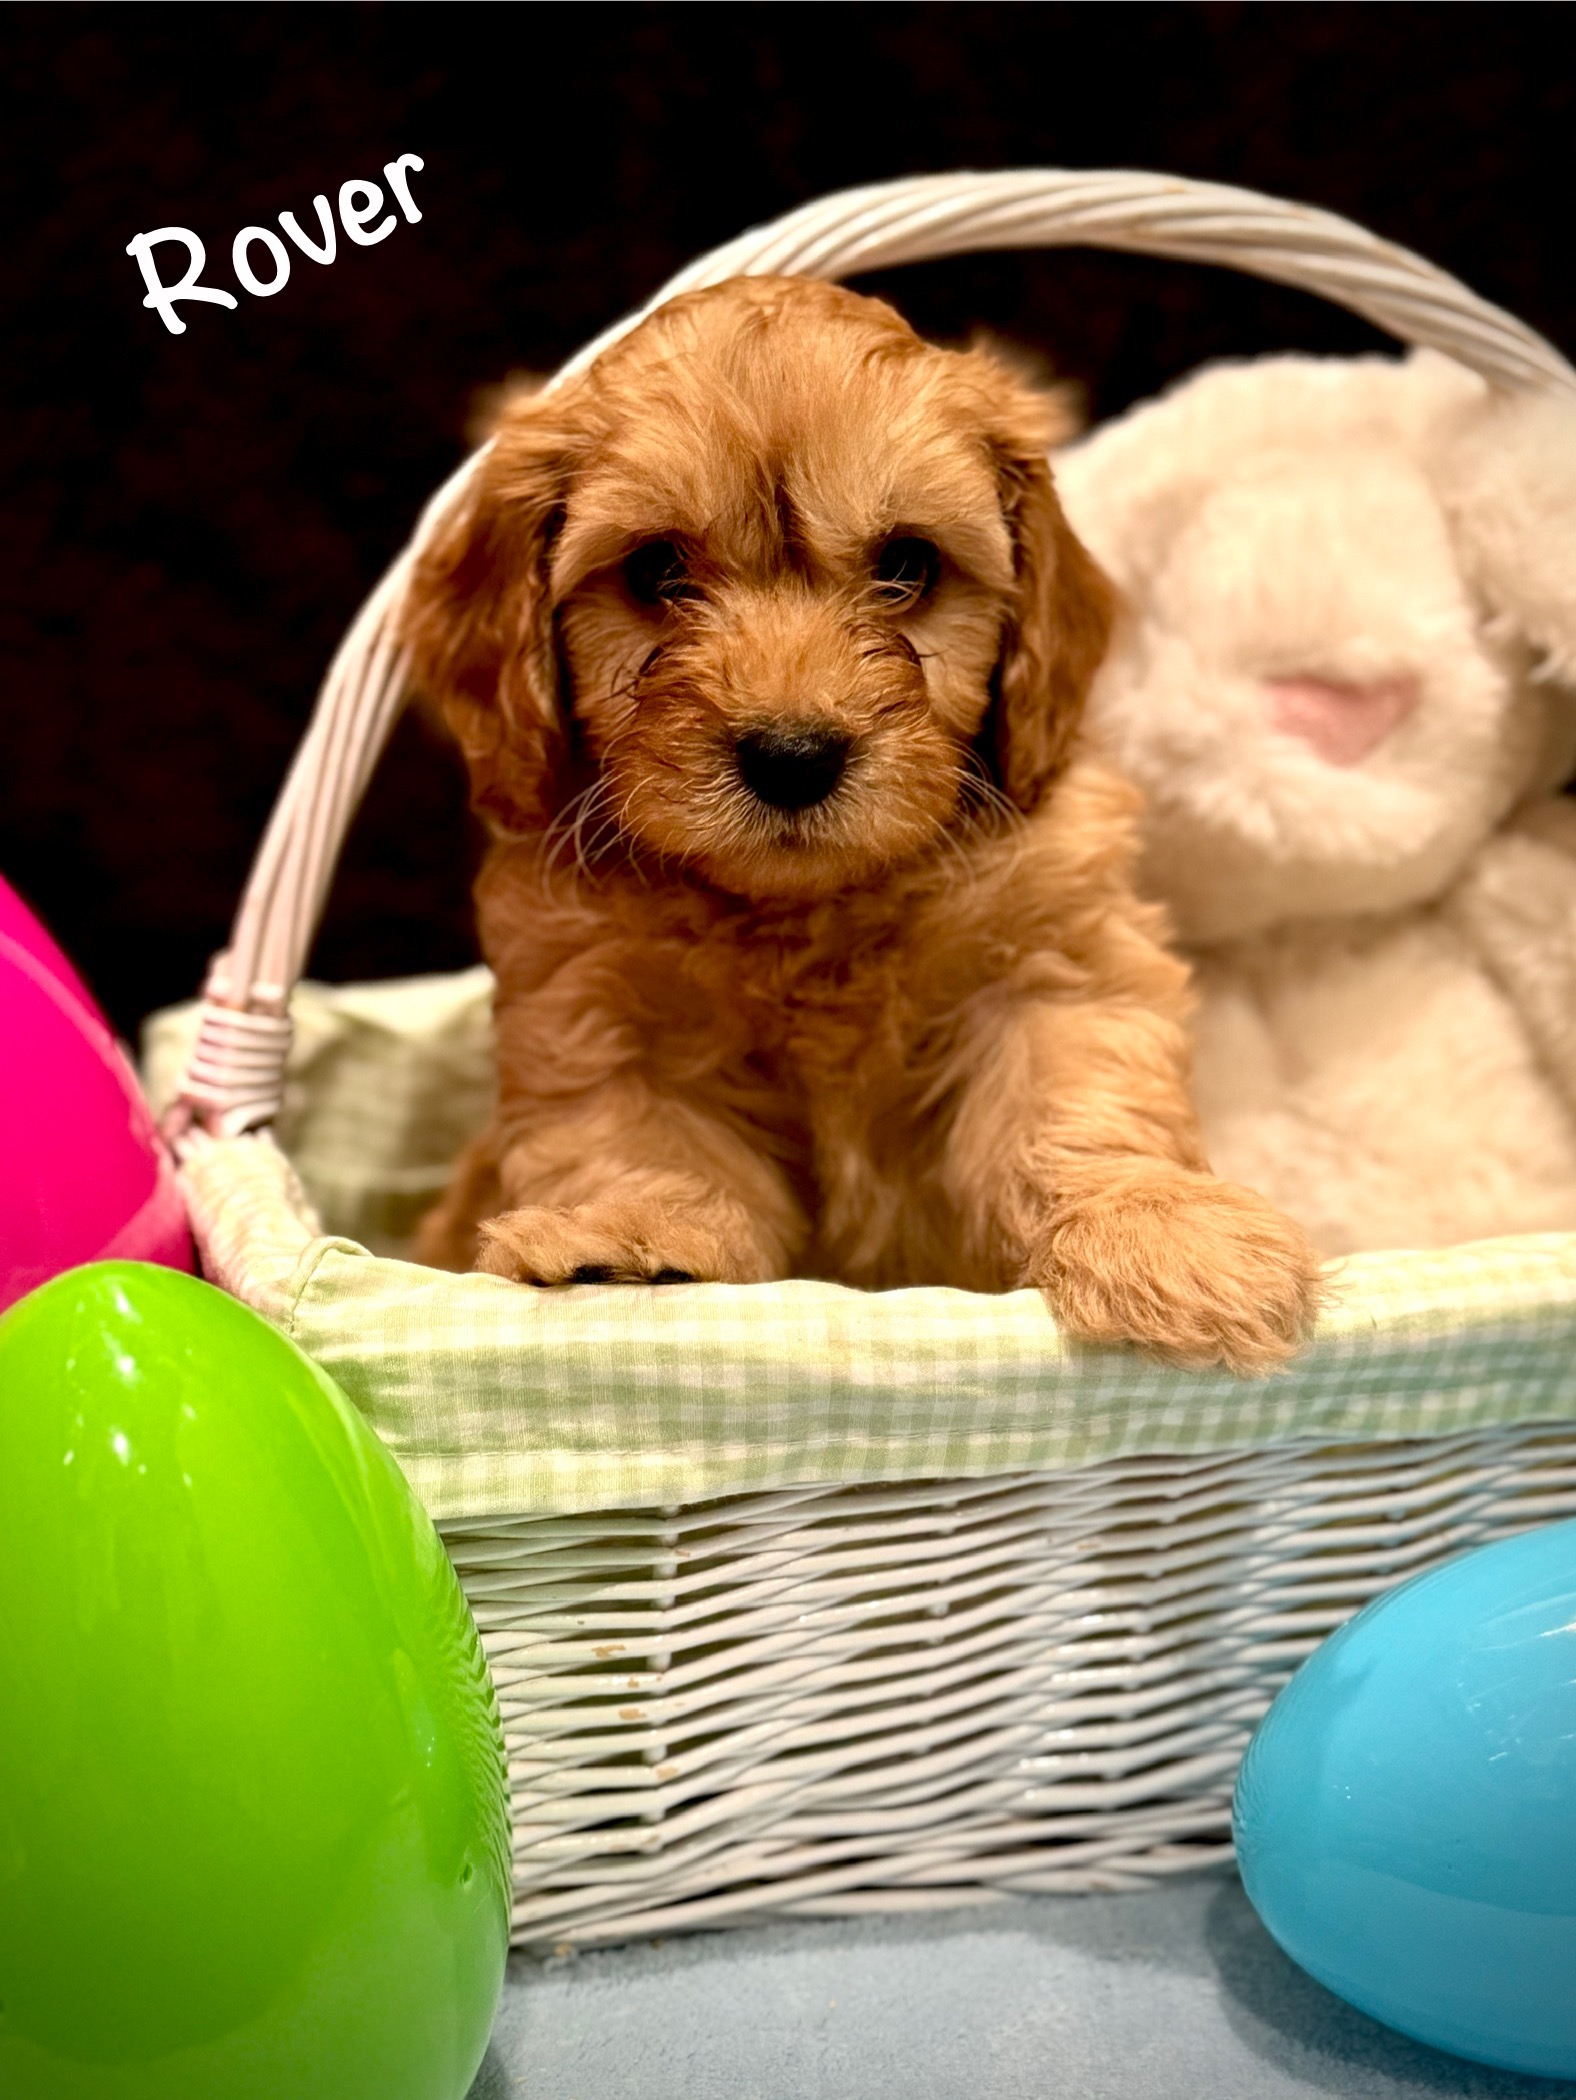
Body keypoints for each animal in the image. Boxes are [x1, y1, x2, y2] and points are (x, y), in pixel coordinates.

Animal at [403, 276, 1322, 1371]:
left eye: (907, 565)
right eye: (657, 570)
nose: (792, 756)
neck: (806, 913)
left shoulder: (1054, 956)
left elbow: (1078, 1101)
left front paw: (1163, 1232)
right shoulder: (595, 1013)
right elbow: (637, 1144)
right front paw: (632, 1239)